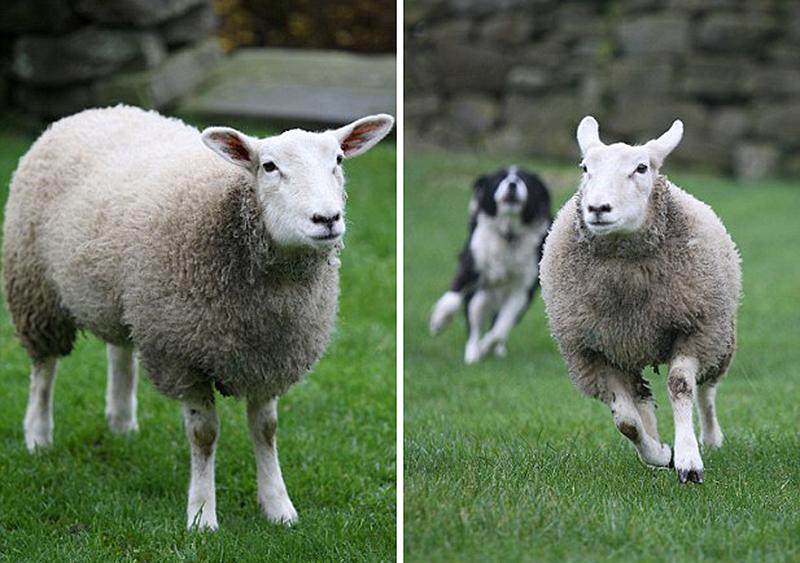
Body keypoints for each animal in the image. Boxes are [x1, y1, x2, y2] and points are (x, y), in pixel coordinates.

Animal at [1, 104, 396, 528]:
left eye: (338, 160)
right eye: (269, 166)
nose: (327, 218)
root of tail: (96, 111)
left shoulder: (269, 355)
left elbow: (266, 430)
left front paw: (278, 507)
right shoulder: (182, 357)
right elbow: (204, 435)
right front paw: (202, 515)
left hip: (124, 294)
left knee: (119, 349)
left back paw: (122, 423)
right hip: (35, 288)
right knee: (44, 368)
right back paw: (38, 435)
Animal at [428, 165, 552, 364]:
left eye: (525, 179)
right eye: (500, 178)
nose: (512, 183)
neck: (508, 235)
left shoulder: (522, 288)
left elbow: (501, 327)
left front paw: (487, 347)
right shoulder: (471, 264)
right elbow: (452, 298)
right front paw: (438, 322)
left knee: (498, 323)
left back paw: (491, 350)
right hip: (480, 298)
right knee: (474, 325)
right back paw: (472, 356)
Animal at [540, 115, 740, 484]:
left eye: (641, 168)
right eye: (585, 167)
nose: (597, 208)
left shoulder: (694, 329)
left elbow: (681, 387)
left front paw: (688, 460)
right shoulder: (595, 350)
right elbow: (625, 421)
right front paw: (660, 454)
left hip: (719, 336)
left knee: (706, 390)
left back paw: (710, 437)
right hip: (626, 347)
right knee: (641, 399)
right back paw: (657, 443)